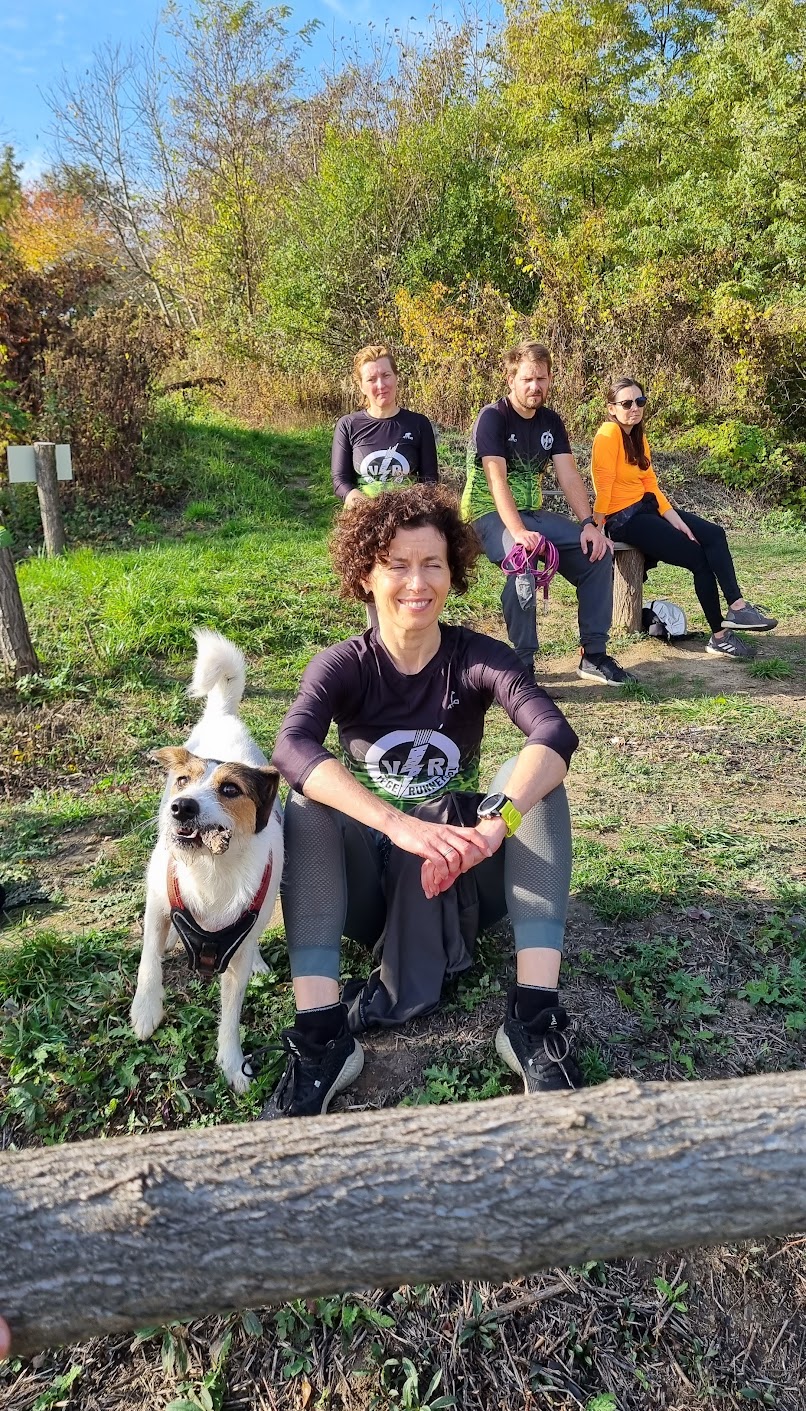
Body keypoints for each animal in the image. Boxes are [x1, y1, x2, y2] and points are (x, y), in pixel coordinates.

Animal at [131, 629, 283, 1092]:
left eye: (230, 790)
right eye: (183, 781)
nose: (181, 807)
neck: (212, 870)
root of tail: (223, 716)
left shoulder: (238, 947)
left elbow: (231, 1014)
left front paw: (232, 1062)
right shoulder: (159, 901)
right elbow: (148, 960)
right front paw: (146, 1009)